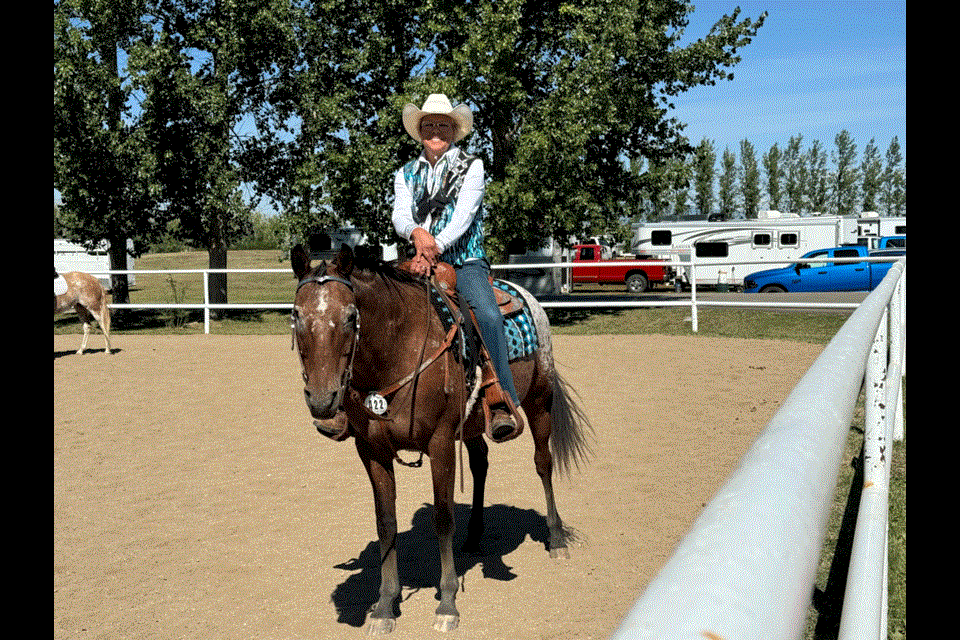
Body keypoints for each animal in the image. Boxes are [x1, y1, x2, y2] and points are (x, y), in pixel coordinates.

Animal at [290, 245, 592, 636]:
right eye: (296, 315)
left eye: (350, 316)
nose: (322, 399)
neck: (398, 350)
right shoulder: (371, 450)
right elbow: (386, 523)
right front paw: (384, 606)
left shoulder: (441, 443)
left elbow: (443, 518)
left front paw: (447, 602)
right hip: (475, 424)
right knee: (480, 463)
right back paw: (475, 536)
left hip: (540, 401)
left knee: (543, 463)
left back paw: (555, 539)